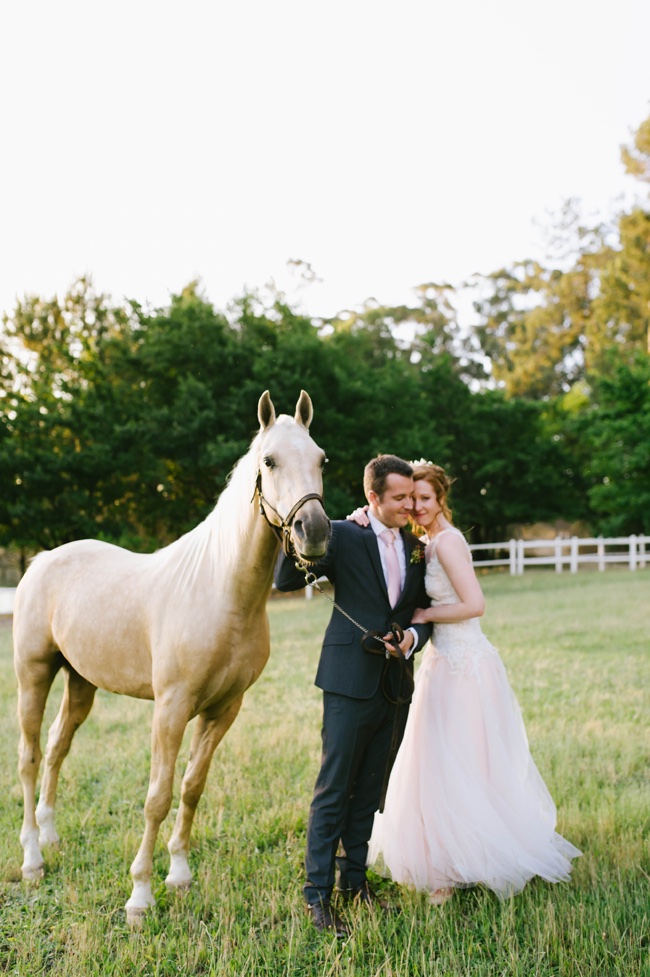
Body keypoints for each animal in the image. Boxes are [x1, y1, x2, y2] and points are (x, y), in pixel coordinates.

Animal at [12, 390, 330, 924]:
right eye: (269, 461)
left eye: (321, 459)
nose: (315, 531)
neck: (221, 592)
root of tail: (42, 560)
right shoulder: (171, 709)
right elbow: (157, 798)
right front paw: (139, 896)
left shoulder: (223, 710)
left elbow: (192, 787)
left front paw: (179, 874)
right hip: (34, 675)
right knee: (31, 758)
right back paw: (33, 858)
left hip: (80, 683)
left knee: (57, 747)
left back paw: (51, 834)